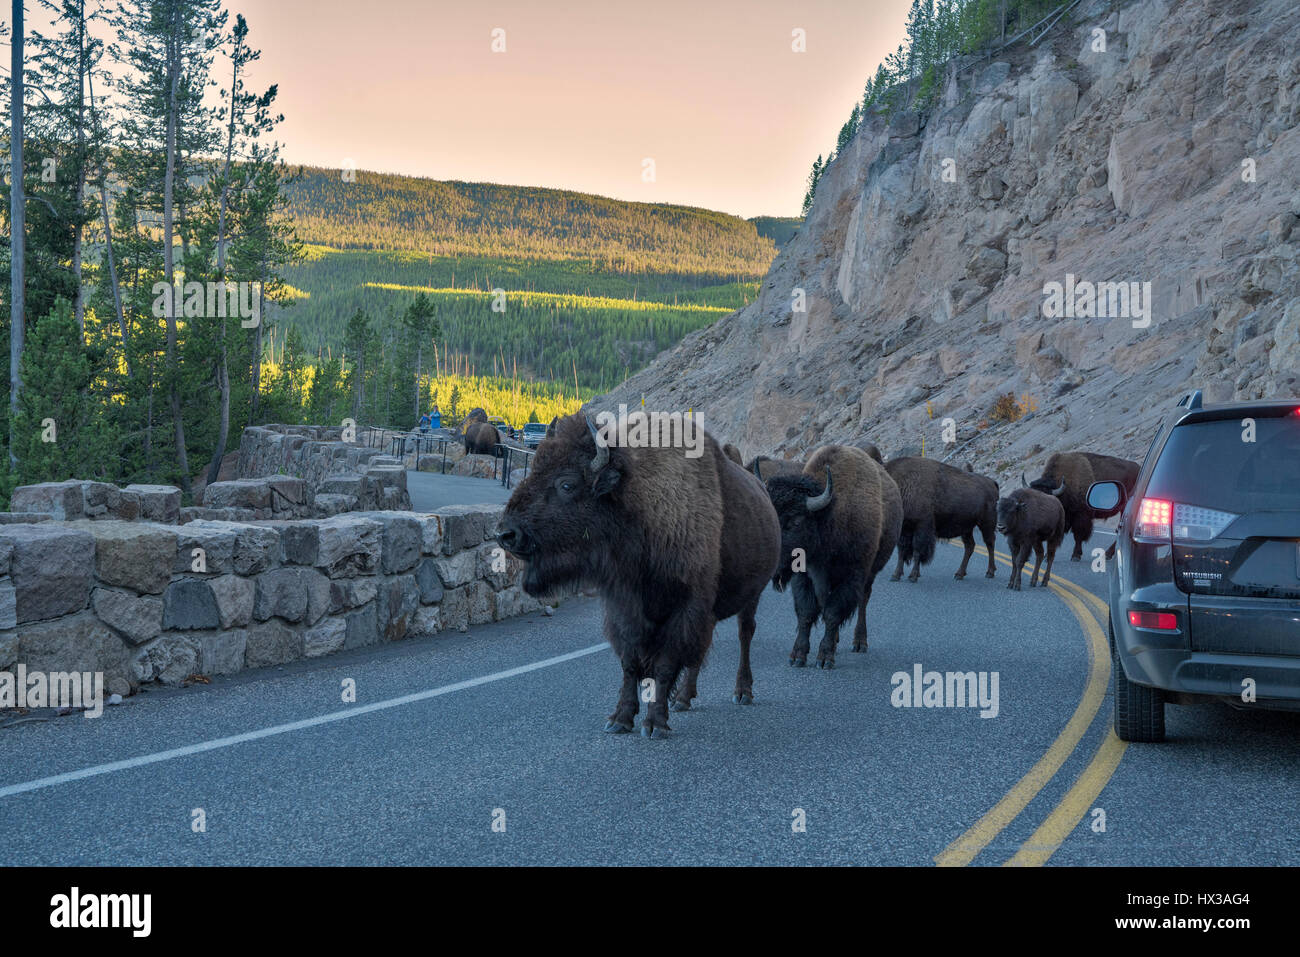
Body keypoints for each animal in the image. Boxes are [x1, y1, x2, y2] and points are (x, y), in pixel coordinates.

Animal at [493, 408, 774, 738]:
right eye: (535, 468)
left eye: (567, 484)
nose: (506, 534)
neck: (640, 505)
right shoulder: (624, 608)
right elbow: (630, 663)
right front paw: (620, 720)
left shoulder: (683, 609)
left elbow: (665, 665)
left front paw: (655, 725)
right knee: (701, 650)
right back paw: (683, 699)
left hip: (752, 596)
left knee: (745, 634)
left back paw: (742, 692)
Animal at [759, 444, 904, 670]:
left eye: (797, 521)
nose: (773, 566)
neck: (830, 516)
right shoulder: (804, 577)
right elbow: (806, 613)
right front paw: (798, 656)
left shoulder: (851, 577)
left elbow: (832, 613)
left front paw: (825, 658)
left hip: (869, 574)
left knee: (862, 601)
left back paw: (859, 642)